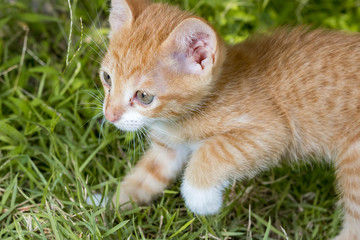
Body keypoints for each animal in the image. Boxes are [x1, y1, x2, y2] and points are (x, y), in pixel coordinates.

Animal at [96, 0, 360, 238]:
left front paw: (201, 199)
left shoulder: (271, 130)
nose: (110, 115)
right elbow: (145, 177)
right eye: (107, 78)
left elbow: (212, 152)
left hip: (354, 159)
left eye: (144, 96)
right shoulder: (168, 148)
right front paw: (108, 207)